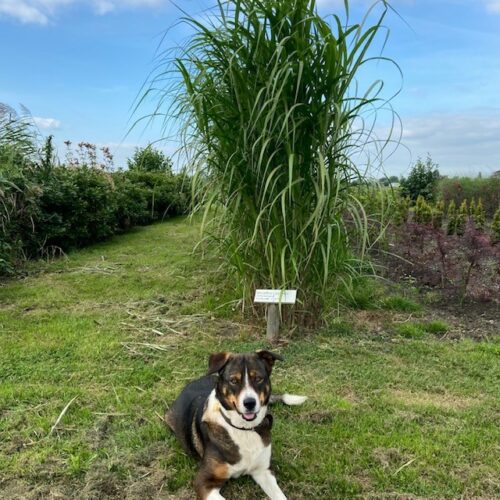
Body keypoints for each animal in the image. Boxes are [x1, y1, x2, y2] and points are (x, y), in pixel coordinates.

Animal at [165, 352, 304, 500]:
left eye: (258, 379)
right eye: (233, 380)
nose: (249, 403)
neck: (244, 429)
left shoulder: (263, 471)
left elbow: (280, 496)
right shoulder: (203, 481)